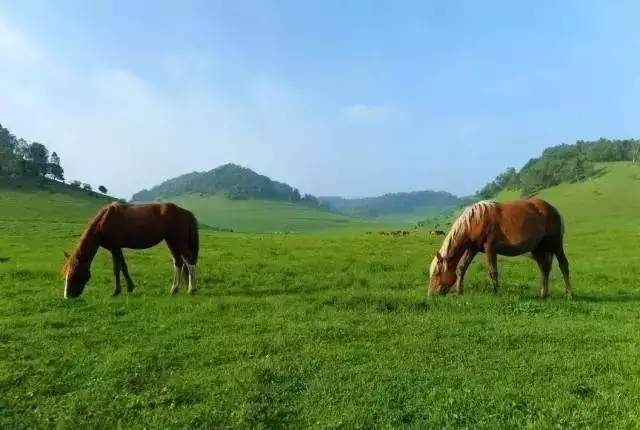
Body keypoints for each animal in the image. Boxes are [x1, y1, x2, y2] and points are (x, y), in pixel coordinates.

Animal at [62, 202, 199, 298]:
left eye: (73, 274)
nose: (67, 296)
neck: (103, 222)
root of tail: (186, 212)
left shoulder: (115, 247)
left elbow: (117, 268)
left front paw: (117, 291)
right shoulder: (116, 248)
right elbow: (122, 267)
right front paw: (129, 288)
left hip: (178, 241)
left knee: (190, 261)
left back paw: (191, 289)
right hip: (171, 242)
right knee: (178, 262)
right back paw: (174, 289)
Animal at [428, 199, 572, 298]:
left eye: (436, 273)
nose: (431, 294)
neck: (475, 221)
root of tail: (554, 210)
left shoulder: (490, 248)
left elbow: (493, 271)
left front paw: (496, 292)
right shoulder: (472, 249)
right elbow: (461, 268)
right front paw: (459, 291)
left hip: (556, 245)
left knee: (563, 265)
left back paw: (569, 294)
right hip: (538, 249)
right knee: (544, 269)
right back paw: (543, 294)